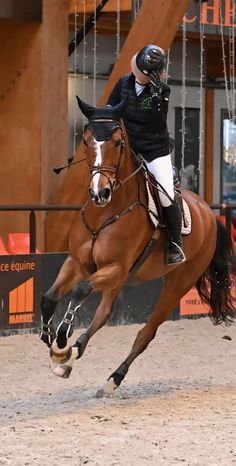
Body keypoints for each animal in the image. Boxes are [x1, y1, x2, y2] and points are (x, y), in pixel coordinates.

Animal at [40, 97, 234, 394]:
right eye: (85, 140)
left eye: (118, 142)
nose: (99, 192)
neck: (105, 213)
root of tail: (209, 214)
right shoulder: (77, 262)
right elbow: (49, 297)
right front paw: (53, 340)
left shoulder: (115, 268)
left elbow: (79, 291)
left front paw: (62, 341)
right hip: (121, 280)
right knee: (104, 314)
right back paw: (72, 358)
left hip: (178, 283)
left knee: (146, 332)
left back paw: (113, 378)